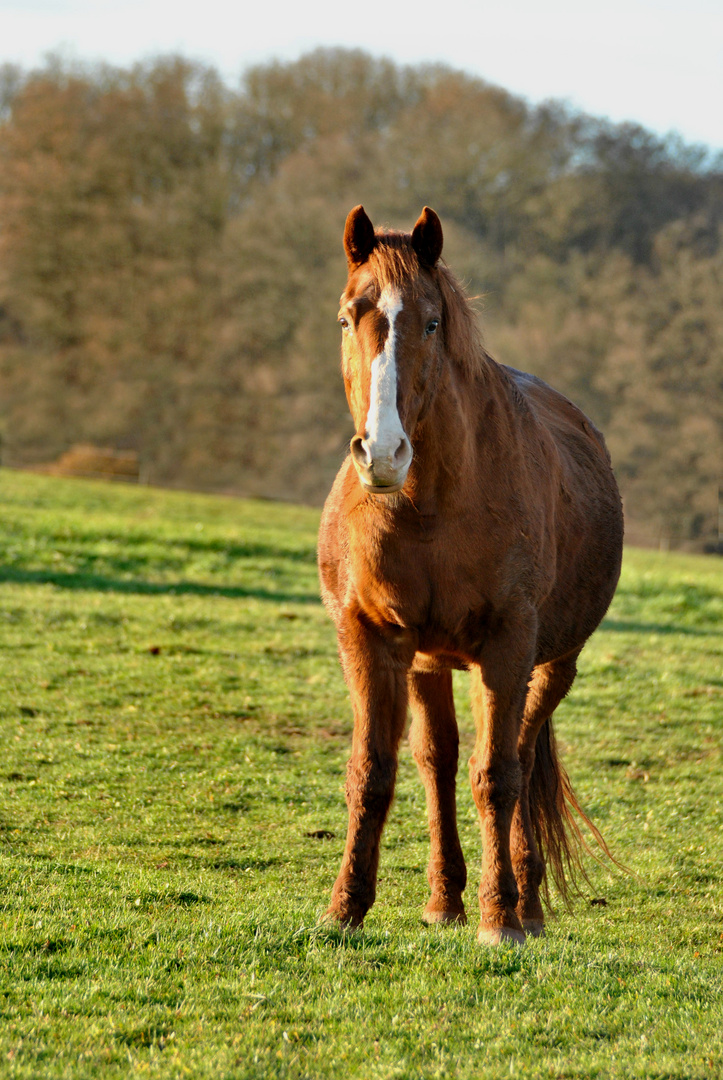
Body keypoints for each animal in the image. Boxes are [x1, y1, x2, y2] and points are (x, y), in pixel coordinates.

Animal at [317, 204, 622, 946]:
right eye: (346, 316)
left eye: (431, 322)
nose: (383, 453)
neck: (427, 504)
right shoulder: (369, 638)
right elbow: (374, 772)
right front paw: (344, 910)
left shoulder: (508, 645)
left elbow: (499, 778)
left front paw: (499, 918)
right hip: (427, 661)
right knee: (439, 763)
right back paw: (442, 900)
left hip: (552, 664)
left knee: (519, 756)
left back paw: (524, 904)